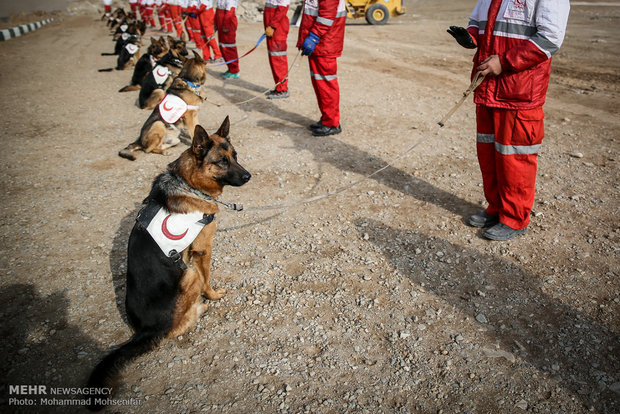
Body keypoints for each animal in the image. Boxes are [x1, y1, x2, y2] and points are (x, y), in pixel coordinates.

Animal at [87, 117, 252, 410]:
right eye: (221, 161)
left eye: (235, 156)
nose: (248, 176)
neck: (188, 182)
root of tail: (144, 331)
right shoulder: (202, 250)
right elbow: (208, 279)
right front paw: (213, 296)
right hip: (188, 275)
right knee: (178, 326)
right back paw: (199, 308)